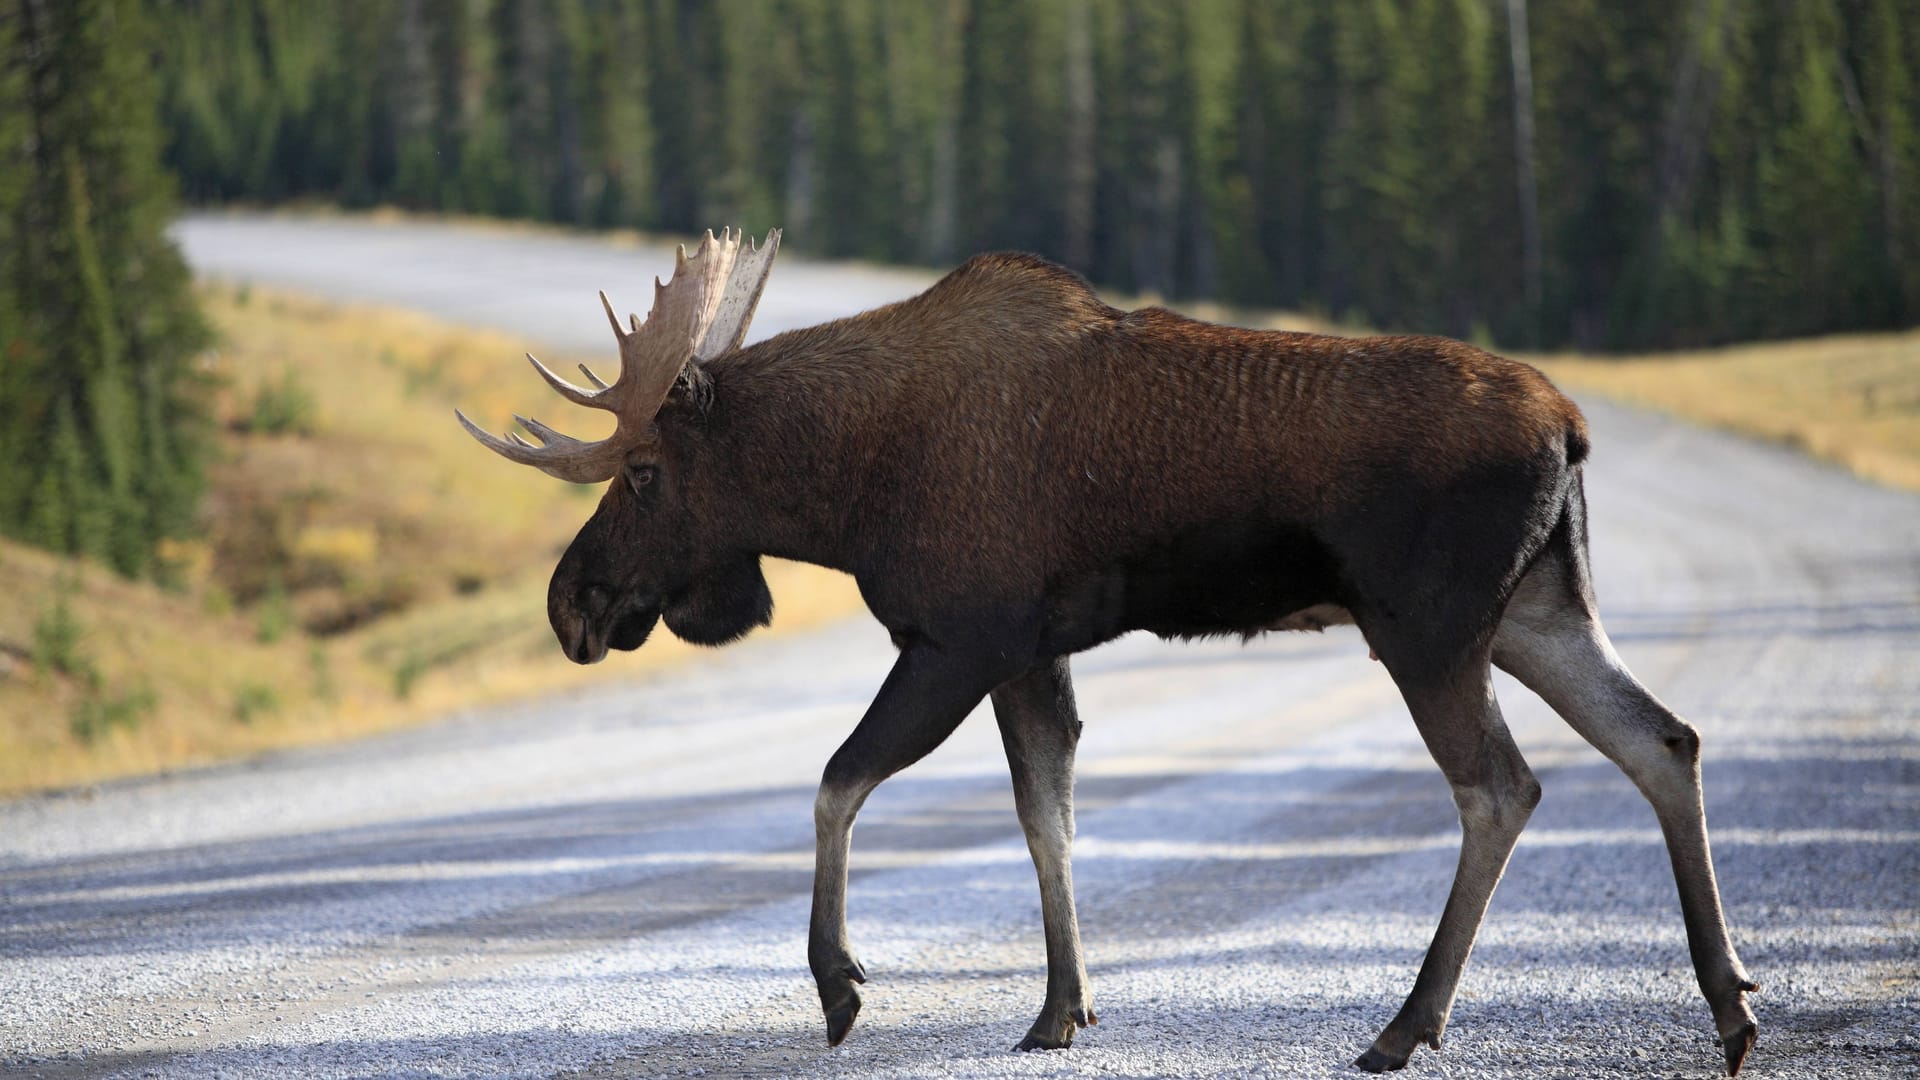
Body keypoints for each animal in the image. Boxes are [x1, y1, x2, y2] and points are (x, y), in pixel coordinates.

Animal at [456, 224, 1758, 1068]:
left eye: (642, 472)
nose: (572, 605)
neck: (841, 488)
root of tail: (1573, 426)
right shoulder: (1034, 650)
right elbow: (1049, 814)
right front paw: (1061, 1007)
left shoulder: (958, 637)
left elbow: (837, 783)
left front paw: (839, 984)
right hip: (1539, 611)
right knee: (1664, 741)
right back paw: (1730, 1003)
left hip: (1427, 626)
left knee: (1502, 786)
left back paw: (1407, 1026)